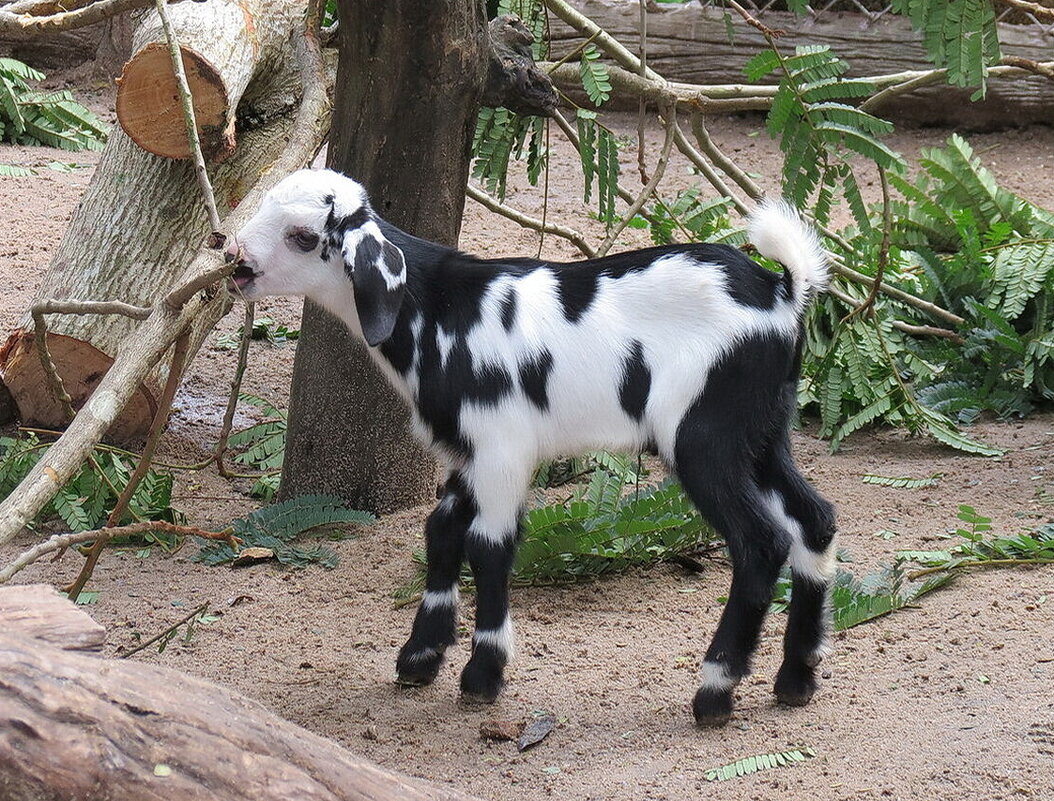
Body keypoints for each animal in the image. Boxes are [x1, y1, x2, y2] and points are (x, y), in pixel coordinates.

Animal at [232, 170, 838, 733]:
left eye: (303, 236)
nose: (235, 259)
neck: (436, 309)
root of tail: (784, 295)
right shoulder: (466, 454)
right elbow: (441, 531)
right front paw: (420, 658)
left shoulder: (501, 447)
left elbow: (489, 546)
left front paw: (483, 675)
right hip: (763, 433)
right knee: (815, 519)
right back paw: (796, 679)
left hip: (705, 437)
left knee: (761, 542)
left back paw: (715, 691)